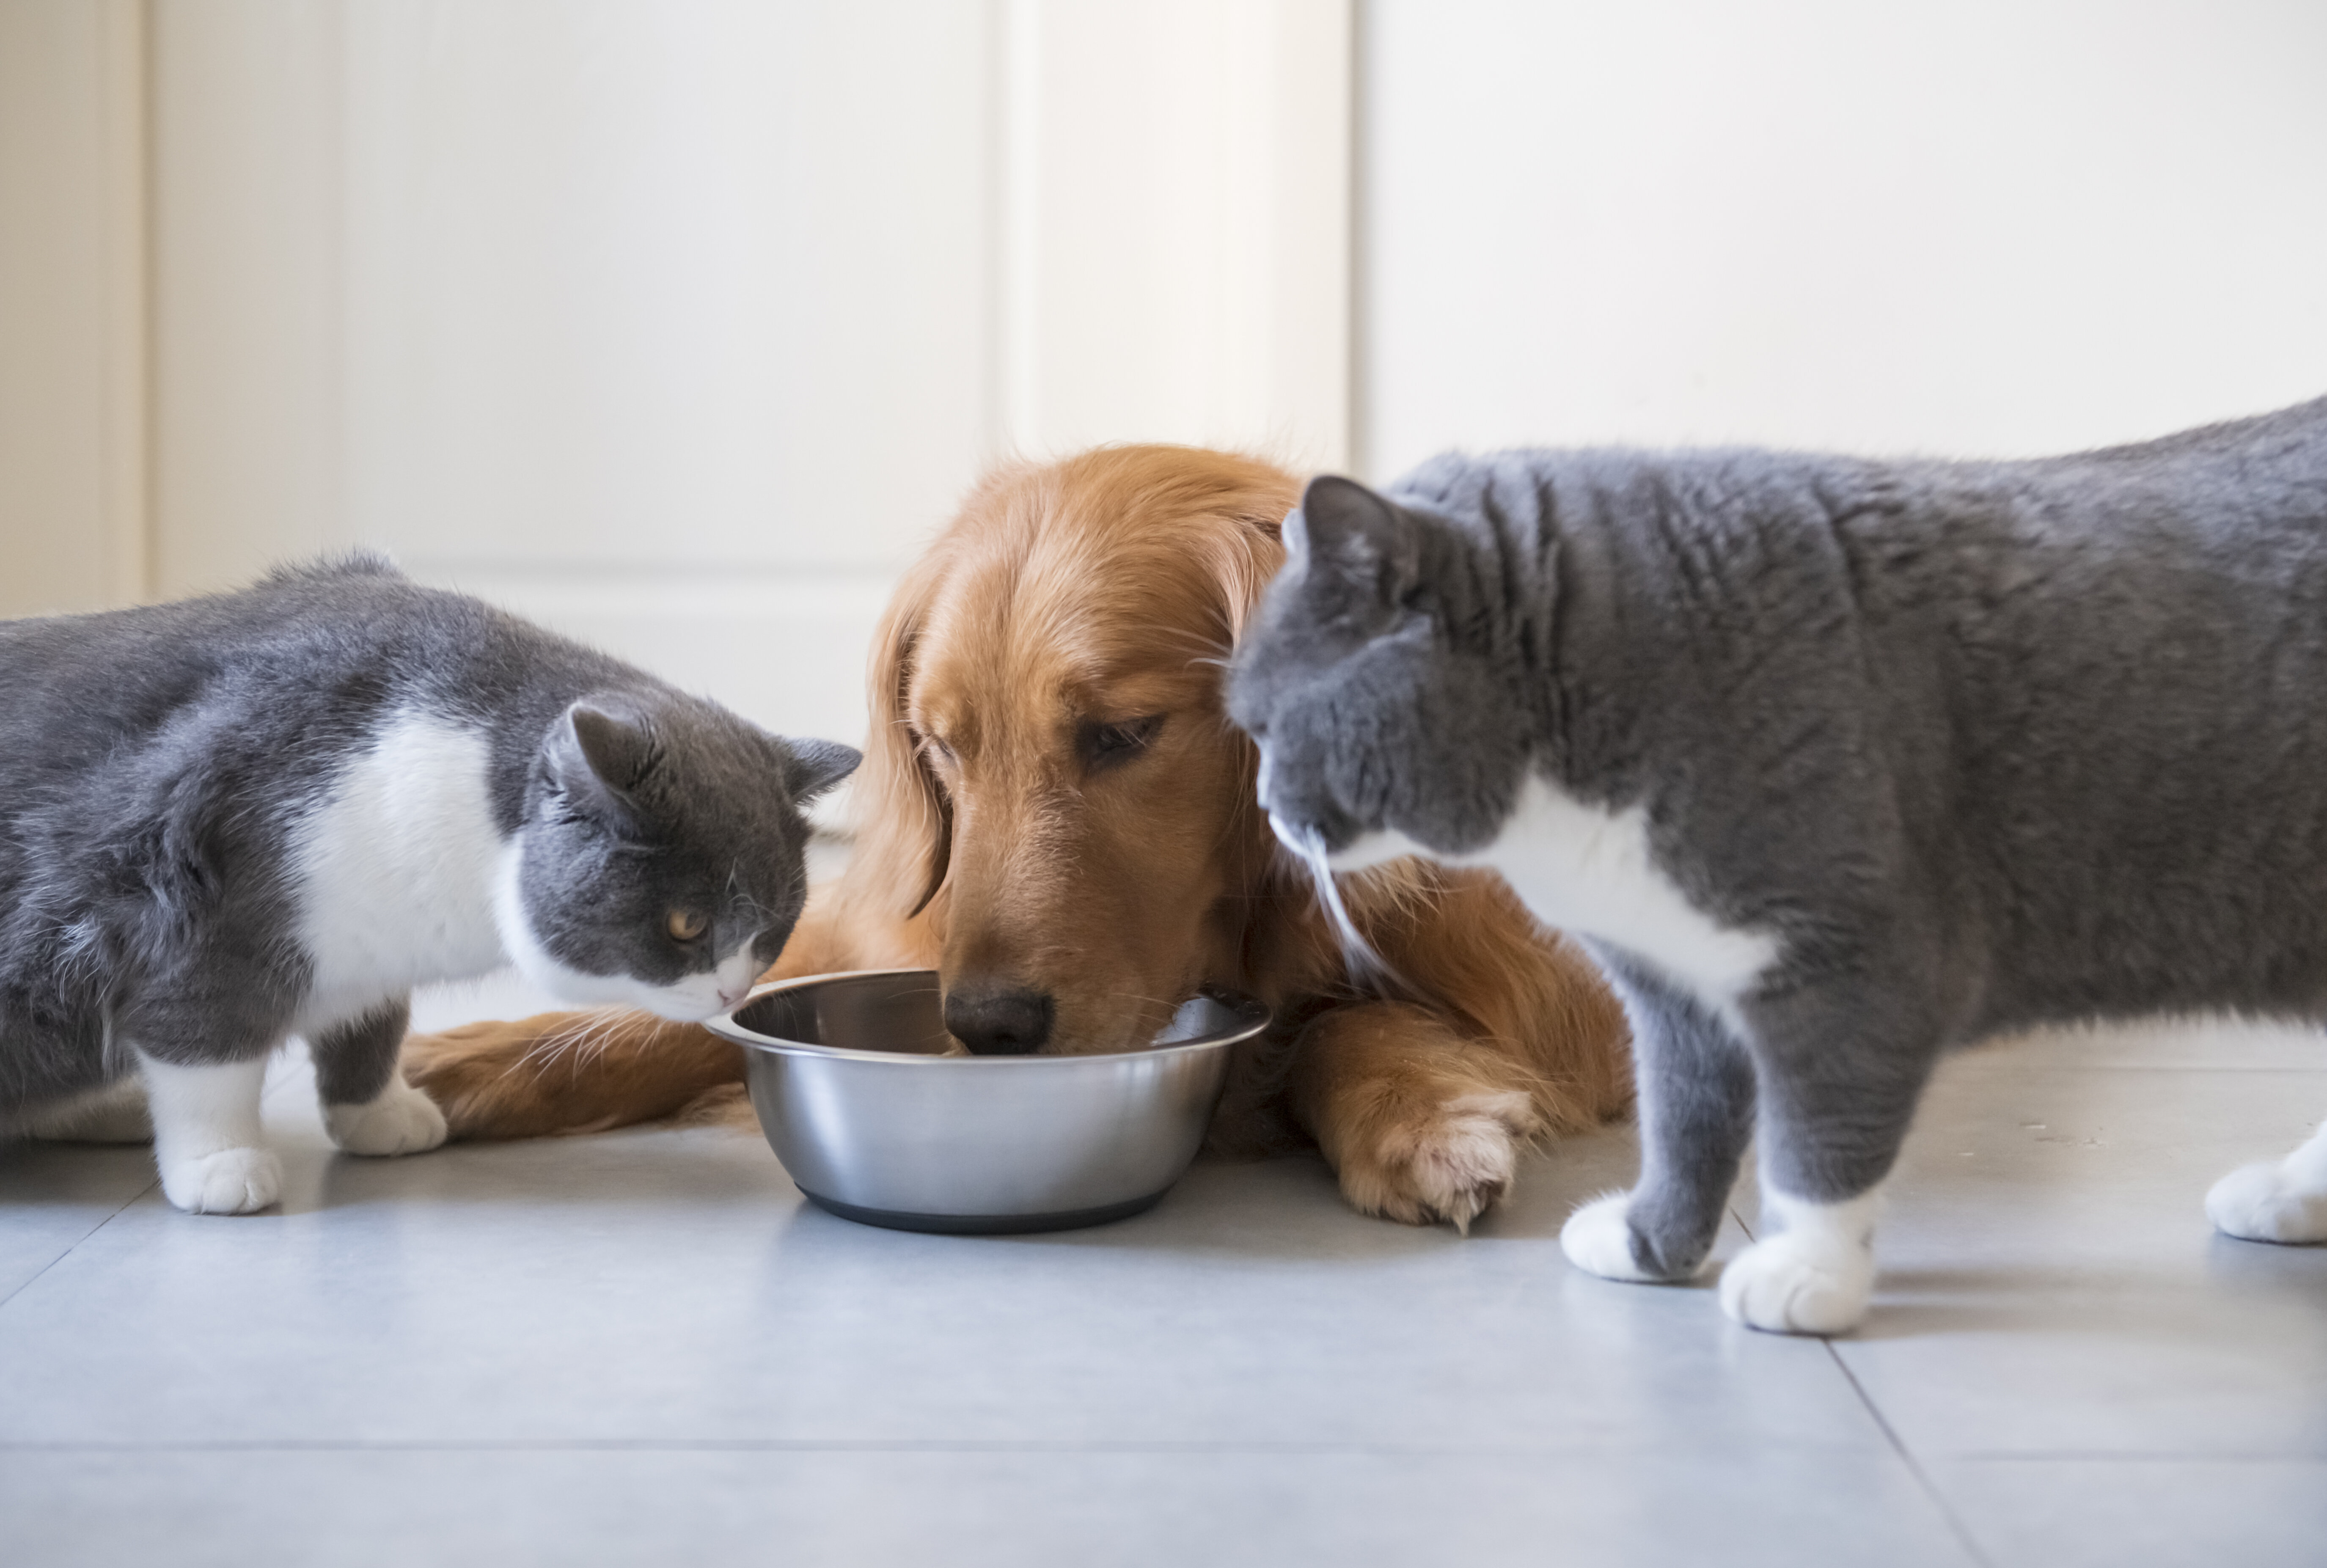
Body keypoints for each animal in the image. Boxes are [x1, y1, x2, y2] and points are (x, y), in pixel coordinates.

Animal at [2, 556, 856, 1219]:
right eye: (686, 924)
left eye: (776, 924)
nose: (731, 993)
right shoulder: (198, 899)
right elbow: (205, 1050)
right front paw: (222, 1167)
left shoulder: (370, 946)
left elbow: (373, 1024)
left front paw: (380, 1115)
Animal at [405, 440, 1638, 1219]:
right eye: (939, 743)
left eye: (1120, 734)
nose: (985, 1026)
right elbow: (675, 1017)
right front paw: (455, 1061)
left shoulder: (1555, 989)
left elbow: (1345, 1022)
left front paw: (1417, 1112)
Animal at [1229, 393, 2327, 1331]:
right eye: (1242, 727)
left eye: (1270, 722)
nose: (1267, 810)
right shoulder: (1672, 988)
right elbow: (1681, 1127)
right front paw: (1650, 1245)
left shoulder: (1851, 971)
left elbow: (1814, 1146)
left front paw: (1806, 1278)